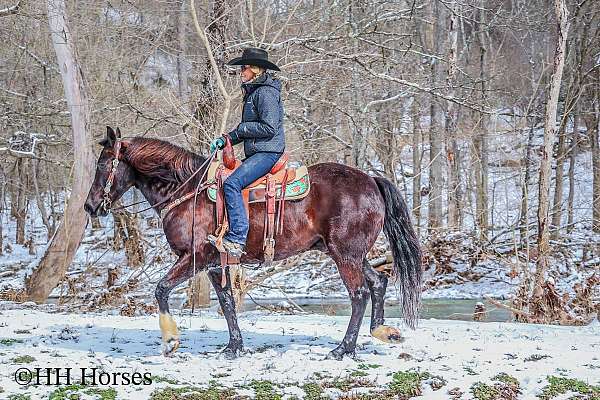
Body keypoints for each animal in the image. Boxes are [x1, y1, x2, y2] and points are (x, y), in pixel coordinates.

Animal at [84, 126, 422, 360]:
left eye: (102, 165)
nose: (89, 207)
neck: (186, 191)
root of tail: (371, 181)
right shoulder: (214, 264)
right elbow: (227, 303)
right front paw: (234, 347)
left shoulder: (193, 257)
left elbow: (161, 289)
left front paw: (170, 341)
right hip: (351, 254)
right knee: (378, 282)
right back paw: (381, 331)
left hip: (345, 256)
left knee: (359, 294)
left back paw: (344, 349)